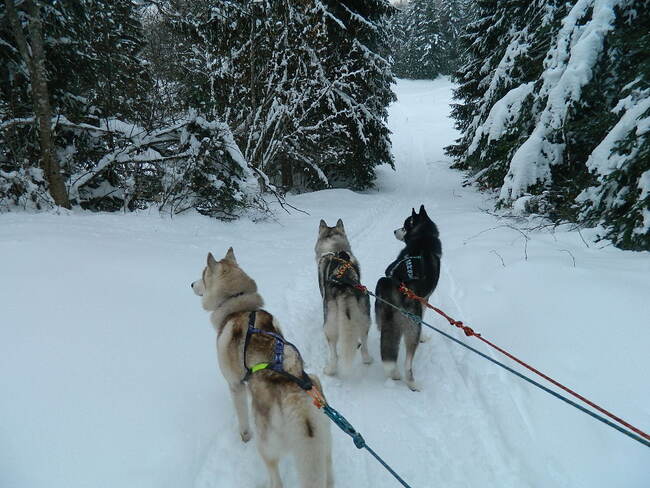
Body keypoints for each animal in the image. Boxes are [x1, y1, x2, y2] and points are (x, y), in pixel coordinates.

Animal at [187, 250, 330, 486]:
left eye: (203, 274)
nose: (191, 284)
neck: (238, 306)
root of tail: (295, 395)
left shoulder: (235, 385)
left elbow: (242, 417)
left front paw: (244, 437)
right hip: (323, 444)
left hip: (267, 447)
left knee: (276, 479)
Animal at [314, 219, 370, 376]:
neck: (335, 249)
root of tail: (345, 287)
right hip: (365, 318)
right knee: (364, 342)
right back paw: (367, 359)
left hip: (329, 324)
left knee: (333, 352)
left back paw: (330, 370)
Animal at [372, 206, 442, 392]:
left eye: (403, 226)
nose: (394, 231)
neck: (422, 238)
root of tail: (396, 284)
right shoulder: (425, 301)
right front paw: (424, 337)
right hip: (412, 327)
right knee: (407, 363)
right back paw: (412, 383)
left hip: (383, 319)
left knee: (388, 346)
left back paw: (394, 373)